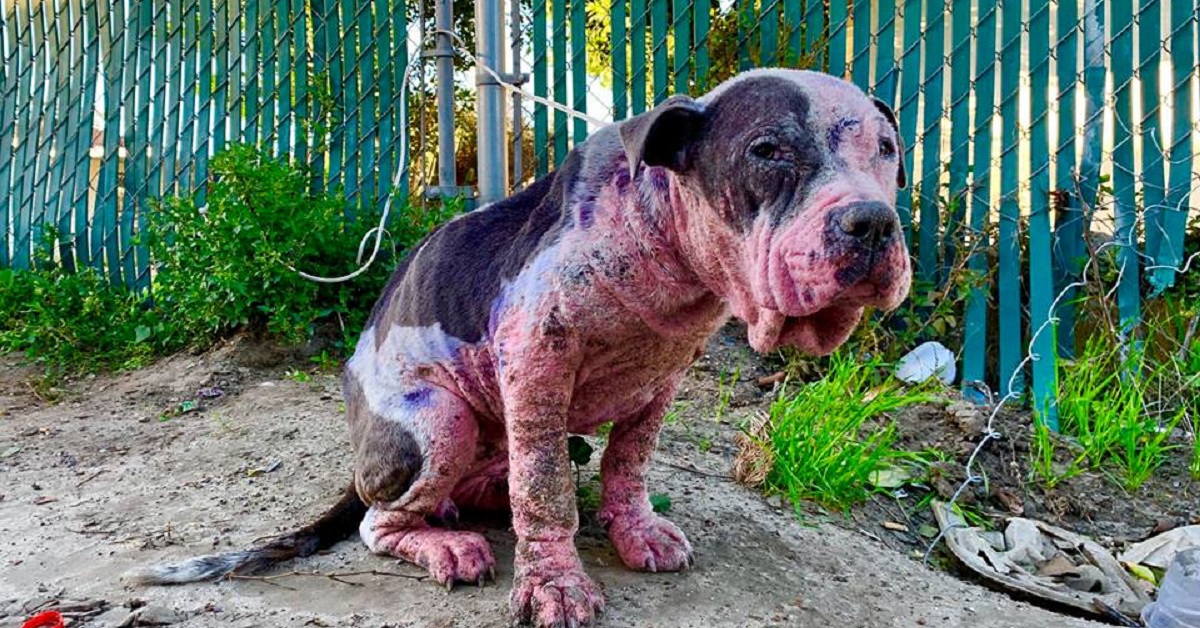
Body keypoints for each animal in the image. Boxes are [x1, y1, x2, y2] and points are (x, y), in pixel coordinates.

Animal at [138, 68, 907, 628]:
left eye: (888, 150)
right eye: (766, 150)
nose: (872, 222)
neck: (660, 249)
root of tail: (361, 466)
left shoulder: (661, 383)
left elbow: (629, 465)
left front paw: (635, 532)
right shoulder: (537, 362)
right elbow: (545, 492)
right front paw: (555, 585)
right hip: (437, 423)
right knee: (380, 523)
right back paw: (445, 544)